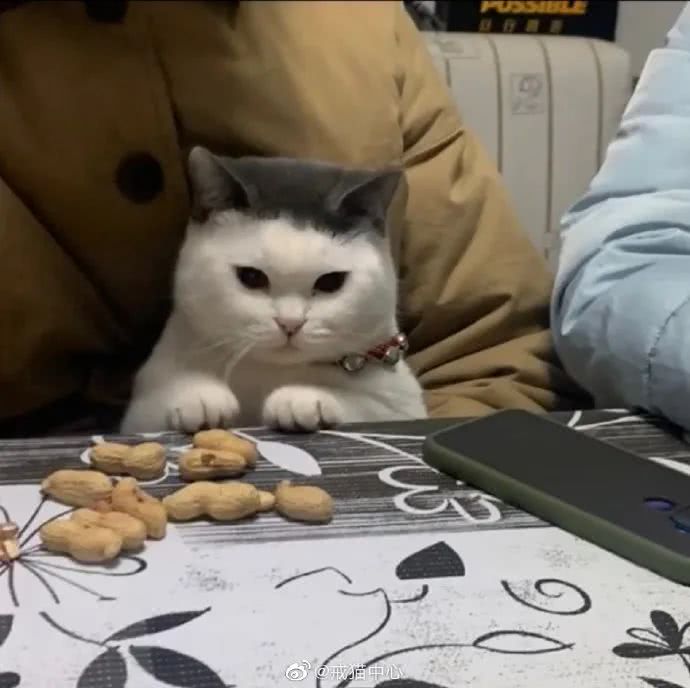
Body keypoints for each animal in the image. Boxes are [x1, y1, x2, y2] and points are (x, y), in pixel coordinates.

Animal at [120, 147, 427, 434]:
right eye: (251, 277)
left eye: (330, 282)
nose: (290, 323)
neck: (268, 374)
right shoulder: (138, 413)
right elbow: (158, 403)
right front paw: (197, 395)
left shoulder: (400, 403)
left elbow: (366, 406)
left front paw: (302, 398)